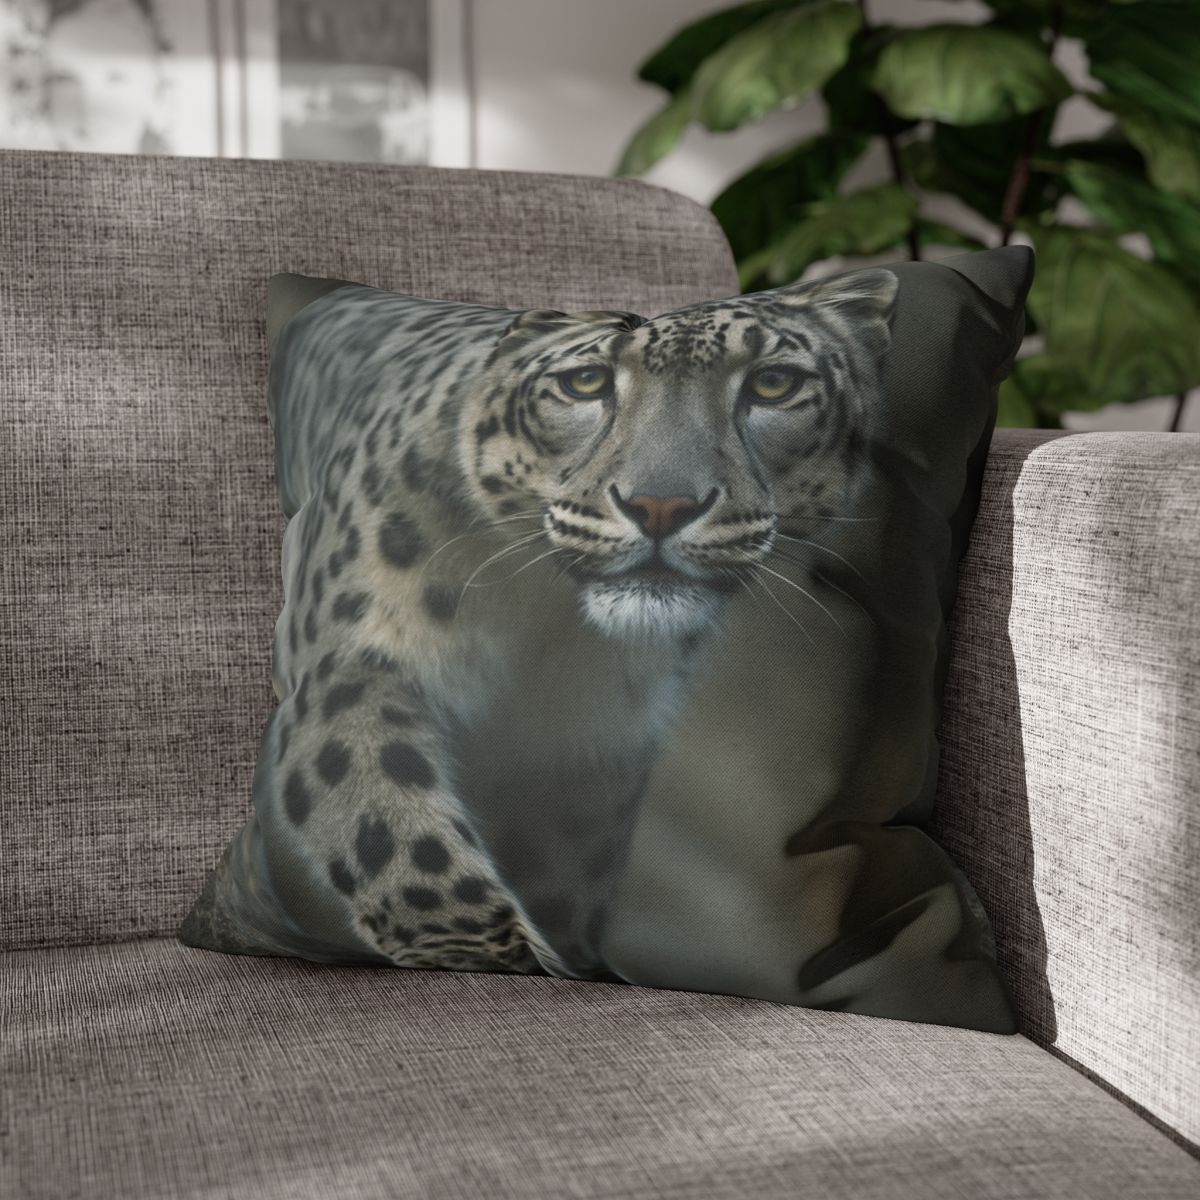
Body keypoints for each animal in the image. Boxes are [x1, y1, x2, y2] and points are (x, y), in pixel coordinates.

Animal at [179, 267, 899, 983]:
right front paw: (490, 949)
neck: (535, 625)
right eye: (584, 383)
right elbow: (390, 826)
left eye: (773, 383)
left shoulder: (585, 755)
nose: (660, 505)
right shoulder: (351, 664)